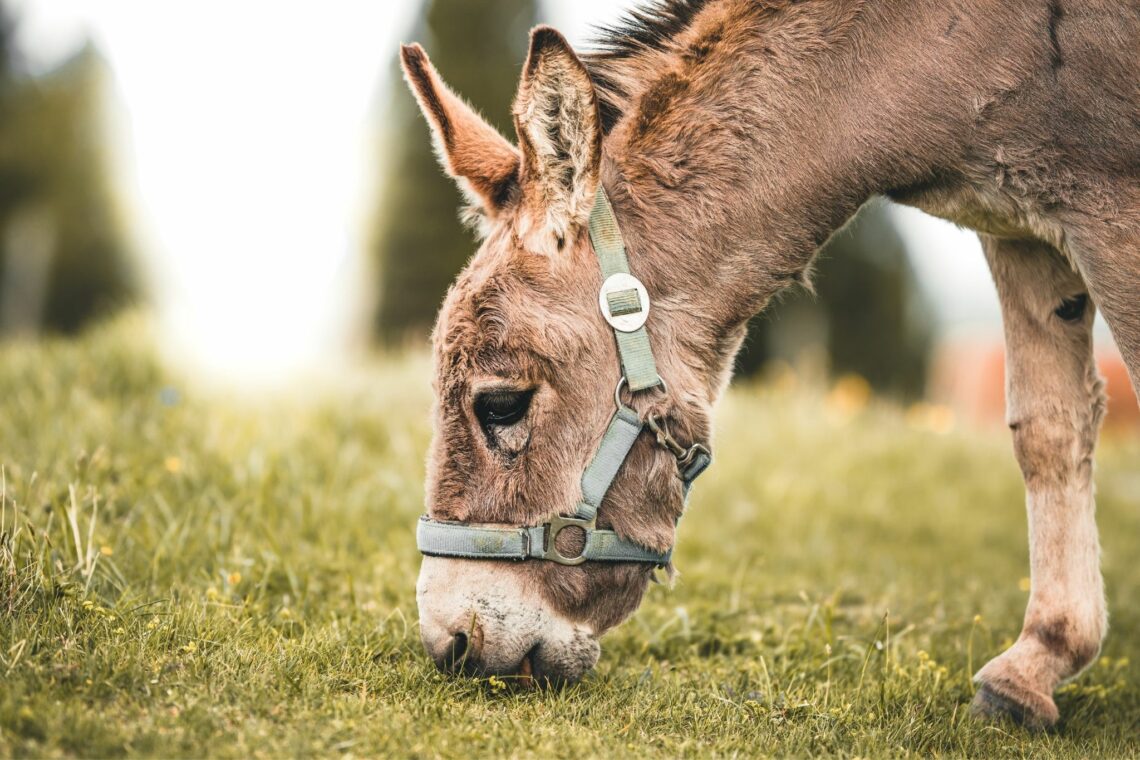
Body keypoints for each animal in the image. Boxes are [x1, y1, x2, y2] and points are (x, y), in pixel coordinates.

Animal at [401, 0, 1140, 728]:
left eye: (501, 403)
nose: (451, 645)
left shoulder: (1108, 207)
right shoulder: (1017, 227)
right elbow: (1048, 431)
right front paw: (1036, 664)